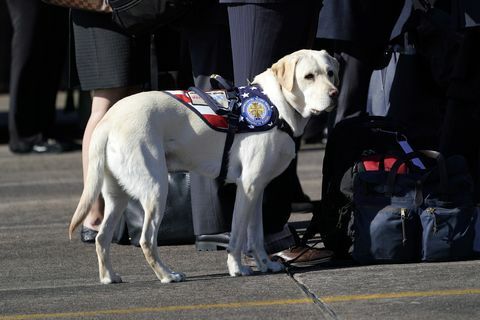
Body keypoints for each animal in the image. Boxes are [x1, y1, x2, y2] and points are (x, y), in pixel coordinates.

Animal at [68, 50, 338, 284]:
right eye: (309, 76)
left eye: (331, 72)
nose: (334, 94)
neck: (277, 105)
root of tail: (107, 120)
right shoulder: (248, 187)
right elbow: (238, 235)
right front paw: (237, 268)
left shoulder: (258, 190)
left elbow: (256, 235)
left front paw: (265, 264)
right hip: (156, 190)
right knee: (146, 240)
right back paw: (167, 275)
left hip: (117, 196)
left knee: (102, 238)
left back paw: (109, 277)